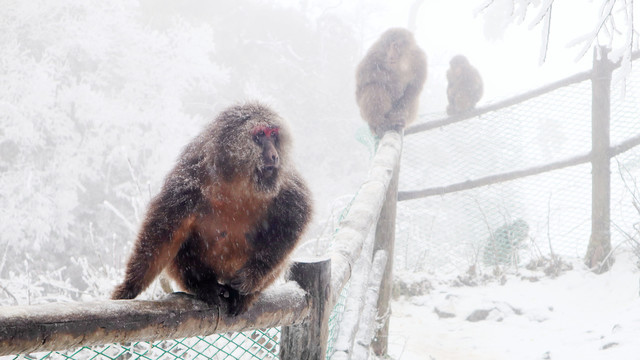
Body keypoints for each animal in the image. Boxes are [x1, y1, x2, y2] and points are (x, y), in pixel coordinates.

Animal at [112, 101, 312, 316]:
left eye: (274, 135)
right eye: (260, 134)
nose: (274, 155)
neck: (238, 178)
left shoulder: (284, 180)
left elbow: (295, 219)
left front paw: (253, 275)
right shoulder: (189, 178)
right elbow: (164, 233)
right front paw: (128, 287)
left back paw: (246, 294)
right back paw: (203, 285)